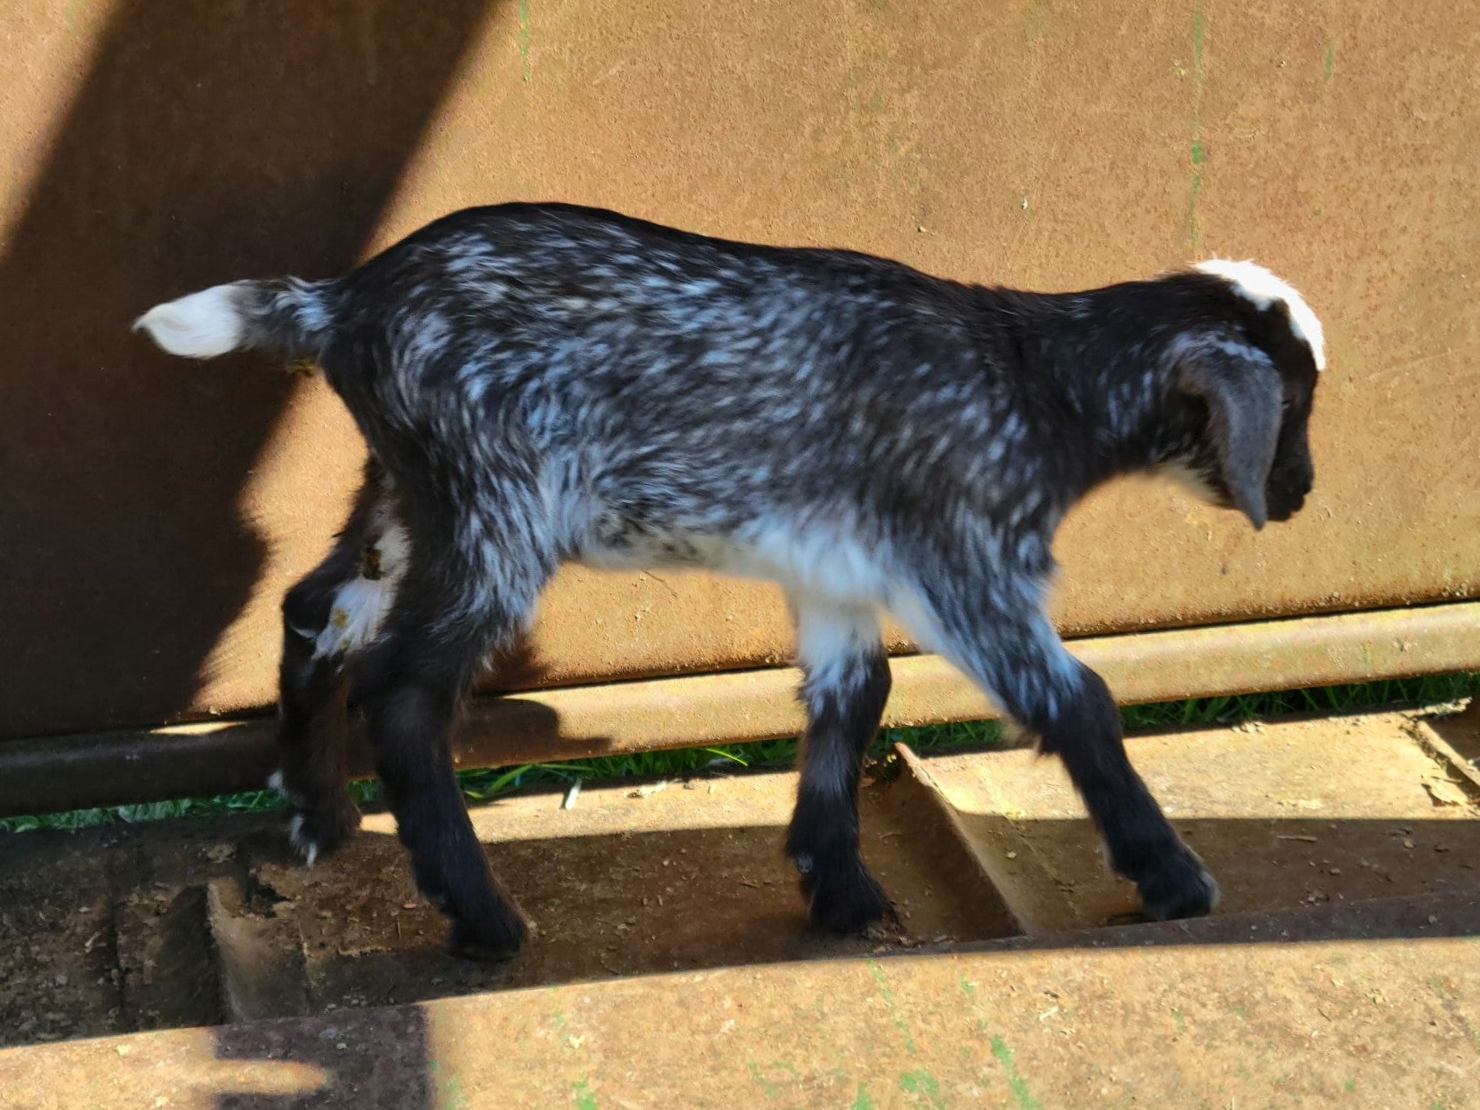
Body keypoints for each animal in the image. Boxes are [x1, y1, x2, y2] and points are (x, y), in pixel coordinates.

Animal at [136, 202, 1324, 958]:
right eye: (1296, 403)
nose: (1303, 492)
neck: (1035, 378)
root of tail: (343, 303)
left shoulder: (839, 571)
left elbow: (854, 699)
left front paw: (836, 885)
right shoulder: (964, 562)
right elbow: (1076, 701)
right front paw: (1170, 877)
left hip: (404, 491)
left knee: (318, 611)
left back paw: (318, 813)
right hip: (496, 507)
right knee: (406, 691)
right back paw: (481, 919)